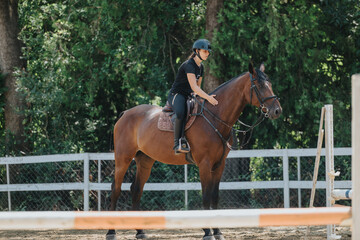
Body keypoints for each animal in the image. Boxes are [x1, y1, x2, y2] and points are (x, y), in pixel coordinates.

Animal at [106, 62, 282, 240]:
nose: (277, 111)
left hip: (145, 161)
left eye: (270, 84)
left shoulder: (219, 165)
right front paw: (207, 232)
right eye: (259, 85)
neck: (214, 118)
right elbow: (205, 197)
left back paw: (140, 231)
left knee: (136, 190)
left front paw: (218, 231)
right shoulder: (204, 164)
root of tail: (125, 114)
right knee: (116, 189)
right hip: (123, 159)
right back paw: (111, 231)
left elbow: (214, 197)